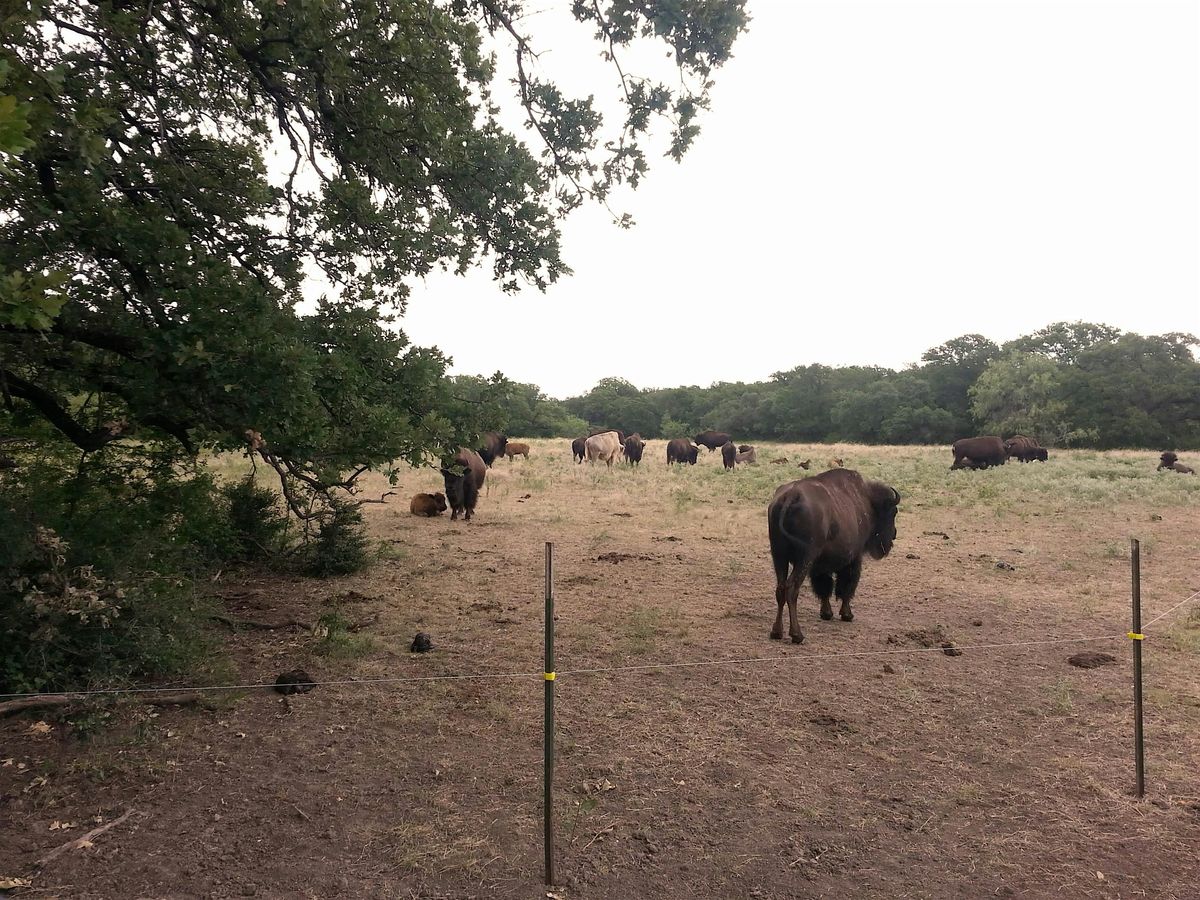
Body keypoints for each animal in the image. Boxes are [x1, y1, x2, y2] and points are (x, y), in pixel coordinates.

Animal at [768, 468, 902, 643]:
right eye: (893, 512)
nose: (893, 535)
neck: (866, 501)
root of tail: (790, 497)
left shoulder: (820, 566)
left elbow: (825, 587)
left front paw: (826, 613)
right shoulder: (854, 558)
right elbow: (846, 586)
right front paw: (847, 615)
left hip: (779, 557)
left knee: (780, 589)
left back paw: (776, 632)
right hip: (804, 559)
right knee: (791, 589)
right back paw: (797, 635)